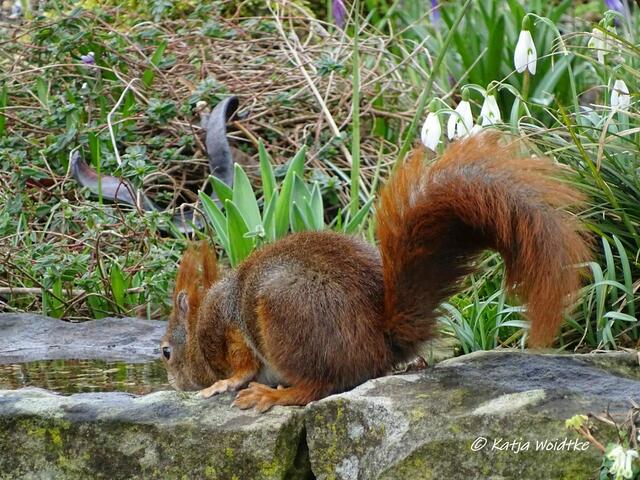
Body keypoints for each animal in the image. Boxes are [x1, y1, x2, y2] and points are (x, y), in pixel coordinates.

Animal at [160, 133, 591, 412]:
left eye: (165, 352)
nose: (174, 382)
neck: (201, 321)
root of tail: (380, 340)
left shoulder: (228, 327)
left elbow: (242, 364)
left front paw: (223, 383)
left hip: (284, 313)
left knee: (321, 386)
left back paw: (275, 395)